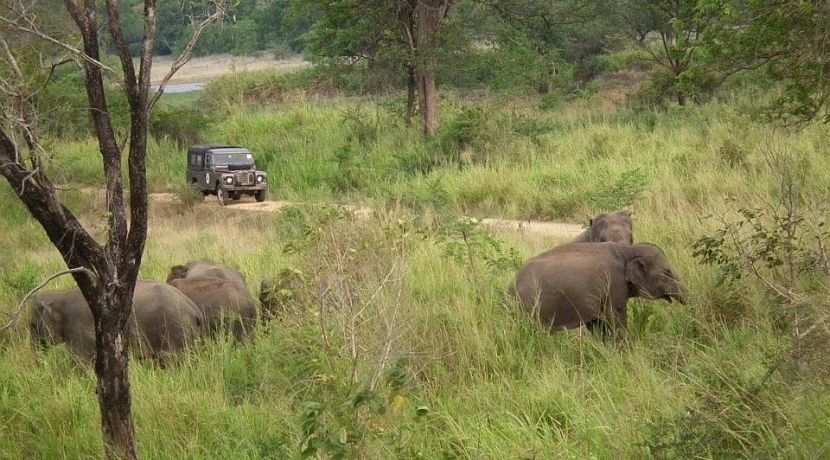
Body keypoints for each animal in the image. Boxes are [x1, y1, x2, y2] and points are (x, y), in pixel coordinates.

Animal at [29, 282, 203, 360]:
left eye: (32, 325)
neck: (61, 295)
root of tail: (194, 309)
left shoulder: (79, 328)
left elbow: (82, 361)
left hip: (175, 330)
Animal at [509, 242, 686, 335]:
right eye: (667, 272)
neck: (627, 250)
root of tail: (511, 287)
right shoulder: (614, 283)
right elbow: (615, 317)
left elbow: (597, 323)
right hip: (529, 306)